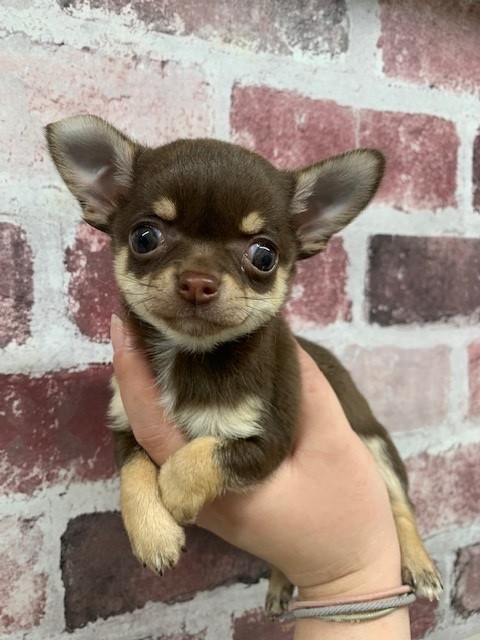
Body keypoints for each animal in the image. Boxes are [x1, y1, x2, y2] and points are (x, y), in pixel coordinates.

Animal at [46, 114, 442, 616]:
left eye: (263, 255)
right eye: (144, 237)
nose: (197, 282)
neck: (188, 354)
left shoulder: (269, 439)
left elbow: (204, 453)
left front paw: (174, 492)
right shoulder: (126, 423)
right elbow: (133, 473)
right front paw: (153, 534)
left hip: (376, 444)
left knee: (400, 505)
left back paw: (420, 563)